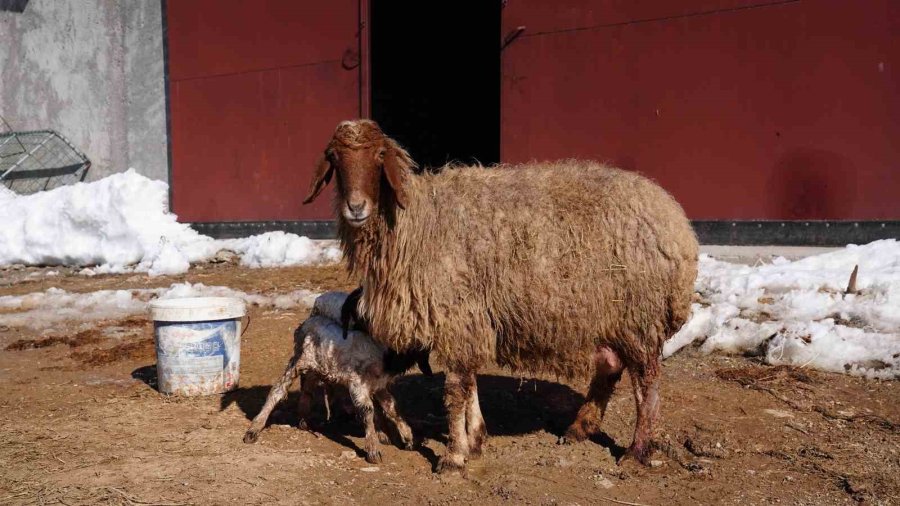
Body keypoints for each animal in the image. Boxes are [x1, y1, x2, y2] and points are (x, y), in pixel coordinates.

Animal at [306, 118, 700, 474]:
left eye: (379, 156)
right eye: (334, 158)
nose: (356, 208)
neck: (415, 223)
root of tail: (677, 224)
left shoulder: (457, 313)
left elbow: (455, 389)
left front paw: (454, 456)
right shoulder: (469, 318)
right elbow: (468, 381)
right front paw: (475, 440)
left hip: (639, 317)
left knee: (646, 384)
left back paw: (636, 451)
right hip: (610, 317)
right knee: (609, 369)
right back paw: (579, 428)